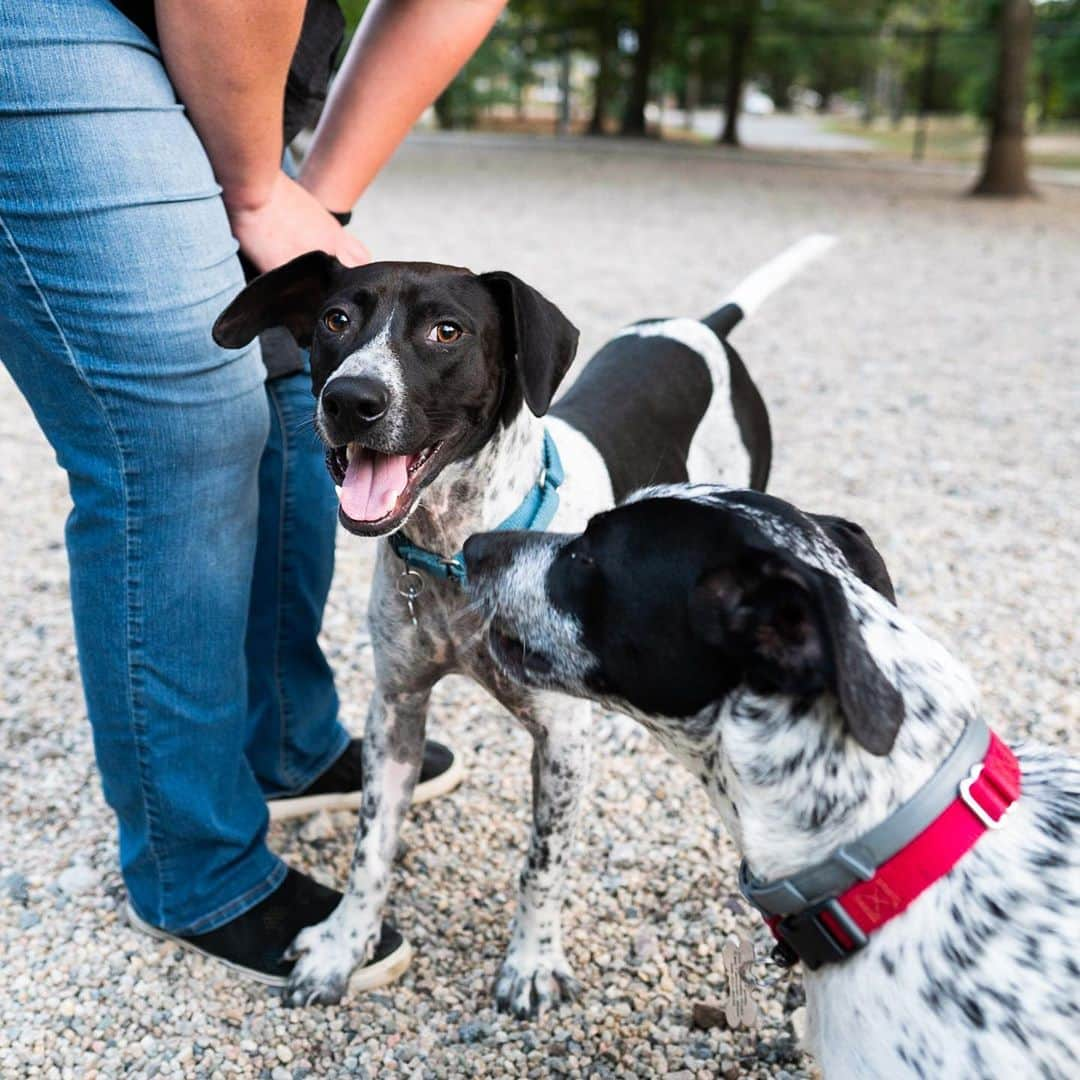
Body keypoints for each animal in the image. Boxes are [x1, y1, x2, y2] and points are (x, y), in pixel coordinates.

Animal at [210, 234, 829, 1010]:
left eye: (447, 331)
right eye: (335, 320)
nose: (350, 399)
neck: (454, 555)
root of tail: (703, 326)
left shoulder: (560, 741)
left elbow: (542, 862)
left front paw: (531, 962)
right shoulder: (396, 713)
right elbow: (370, 849)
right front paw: (341, 949)